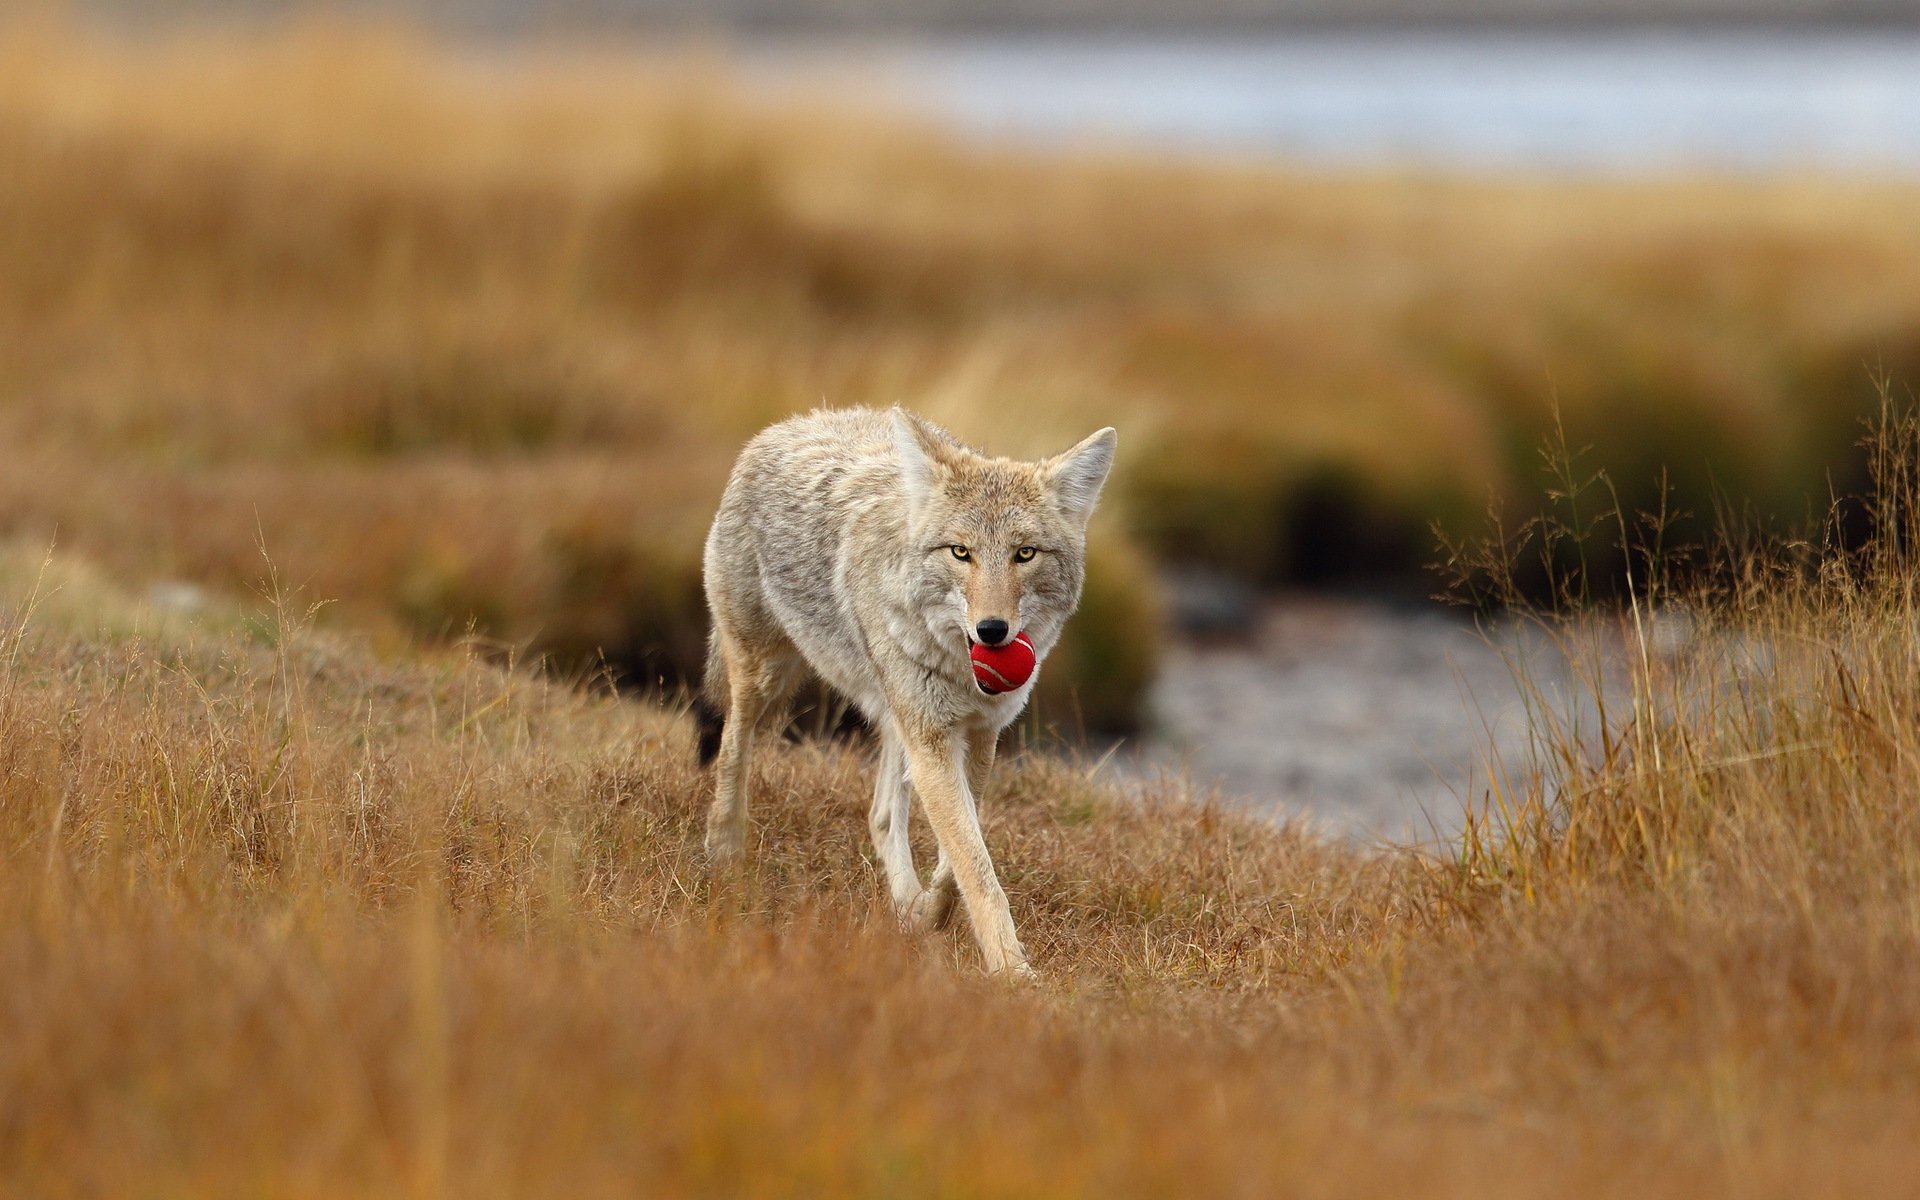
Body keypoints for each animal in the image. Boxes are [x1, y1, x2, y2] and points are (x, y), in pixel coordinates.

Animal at [697, 406, 1117, 976]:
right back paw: (724, 853)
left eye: (1025, 554)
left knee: (878, 816)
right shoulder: (932, 738)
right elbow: (976, 869)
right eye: (961, 552)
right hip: (763, 679)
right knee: (730, 750)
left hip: (894, 716)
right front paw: (1011, 972)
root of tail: (787, 424)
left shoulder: (978, 735)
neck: (960, 670)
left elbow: (958, 861)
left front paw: (929, 916)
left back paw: (904, 905)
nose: (992, 630)